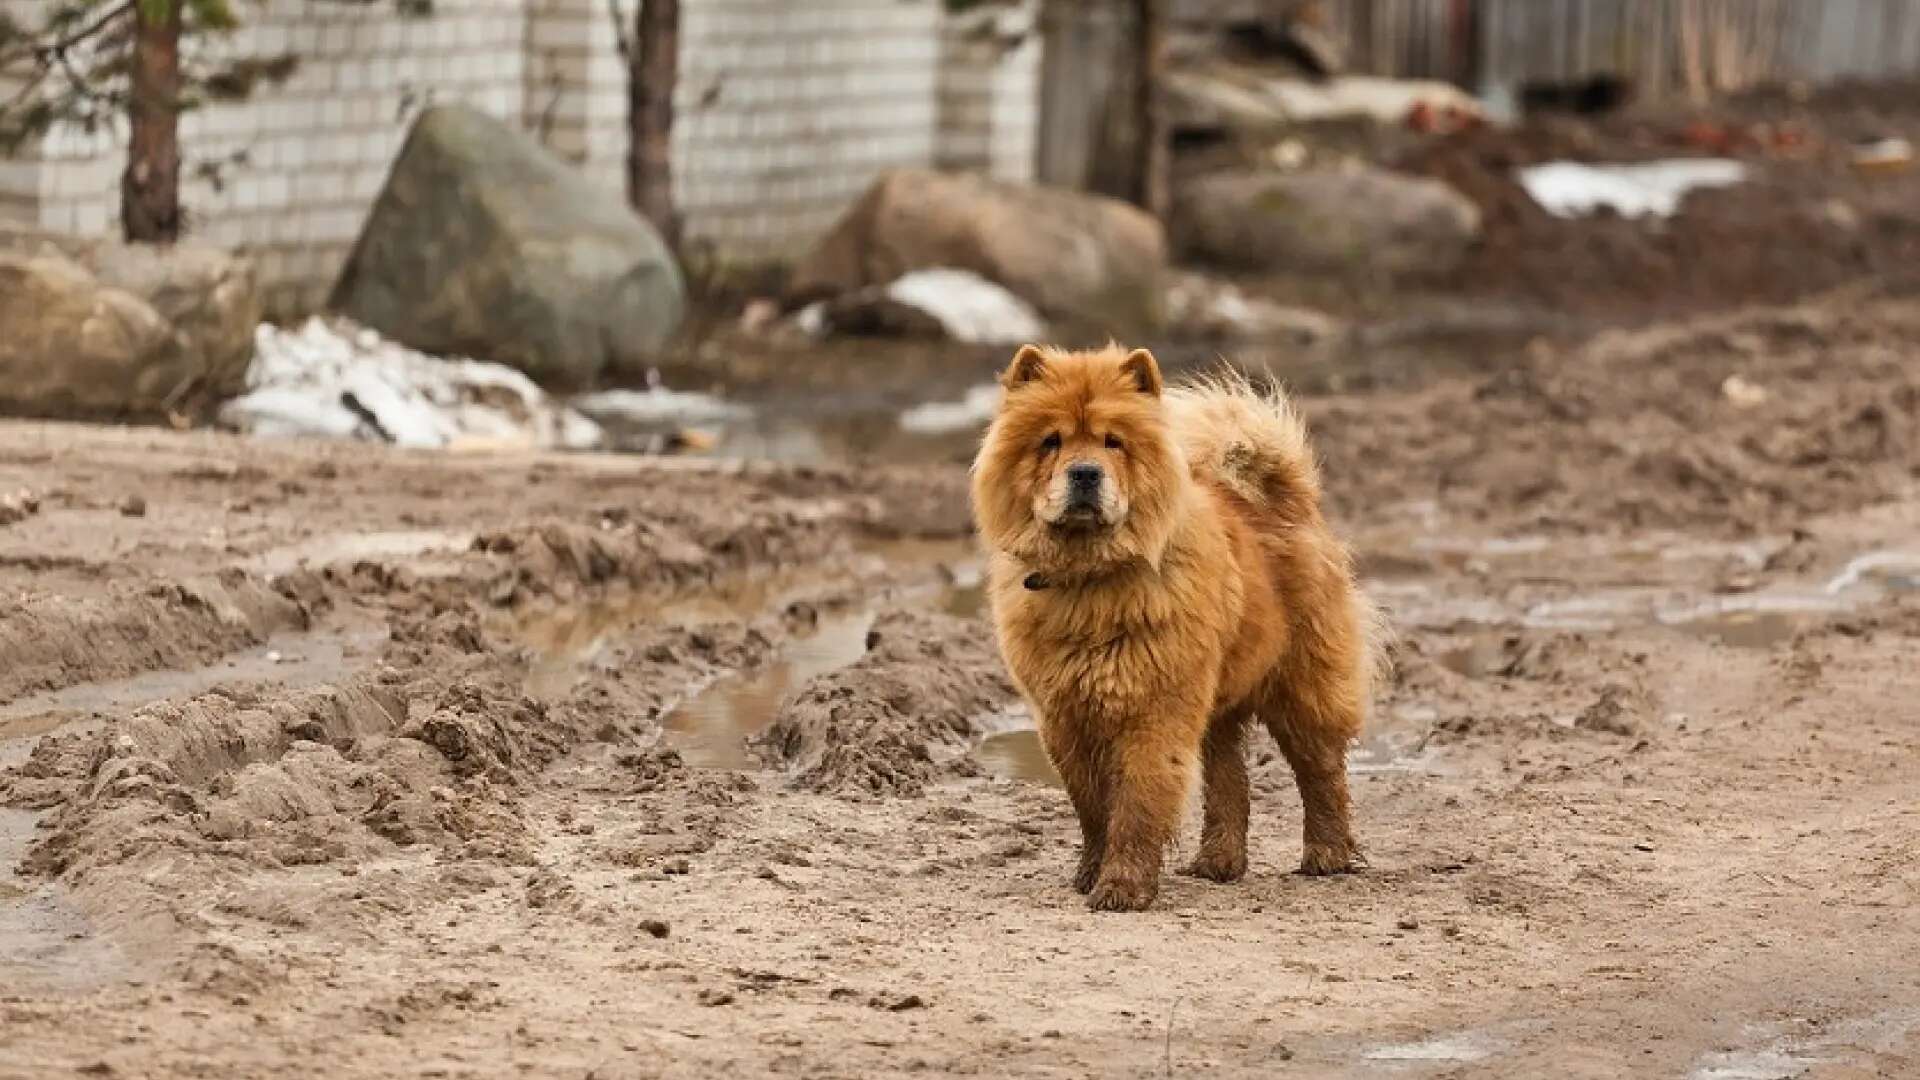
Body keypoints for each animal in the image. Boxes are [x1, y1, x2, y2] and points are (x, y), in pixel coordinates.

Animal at [975, 343, 1382, 907]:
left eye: (1113, 442)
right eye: (1050, 441)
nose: (1085, 473)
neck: (1090, 579)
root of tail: (1288, 499)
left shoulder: (1154, 709)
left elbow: (1137, 805)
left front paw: (1122, 887)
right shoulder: (1064, 717)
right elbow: (1091, 806)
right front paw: (1090, 872)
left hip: (1303, 687)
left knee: (1321, 772)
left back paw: (1327, 856)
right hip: (1219, 703)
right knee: (1229, 781)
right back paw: (1218, 863)